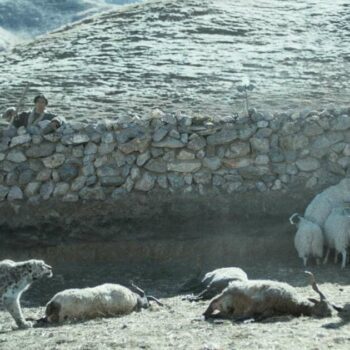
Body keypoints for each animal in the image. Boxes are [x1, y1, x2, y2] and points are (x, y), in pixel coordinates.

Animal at [202, 270, 342, 322]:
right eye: (323, 305)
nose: (331, 314)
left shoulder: (269, 310)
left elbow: (262, 314)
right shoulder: (256, 303)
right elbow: (248, 313)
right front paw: (248, 319)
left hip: (226, 308)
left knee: (221, 314)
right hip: (222, 297)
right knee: (211, 305)